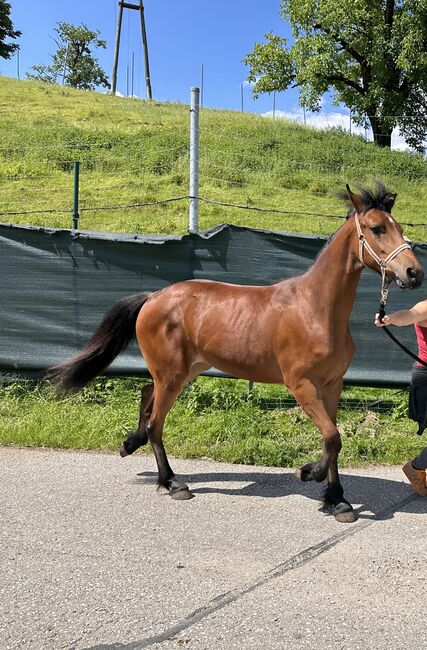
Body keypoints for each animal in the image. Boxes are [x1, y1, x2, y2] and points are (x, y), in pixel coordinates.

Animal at [50, 184, 424, 520]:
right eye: (377, 228)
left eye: (400, 228)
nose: (414, 273)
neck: (316, 310)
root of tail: (154, 297)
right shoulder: (301, 385)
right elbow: (332, 438)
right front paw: (309, 474)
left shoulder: (332, 385)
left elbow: (332, 439)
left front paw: (336, 500)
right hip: (172, 375)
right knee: (156, 422)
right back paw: (172, 483)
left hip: (183, 371)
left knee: (146, 395)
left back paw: (131, 444)